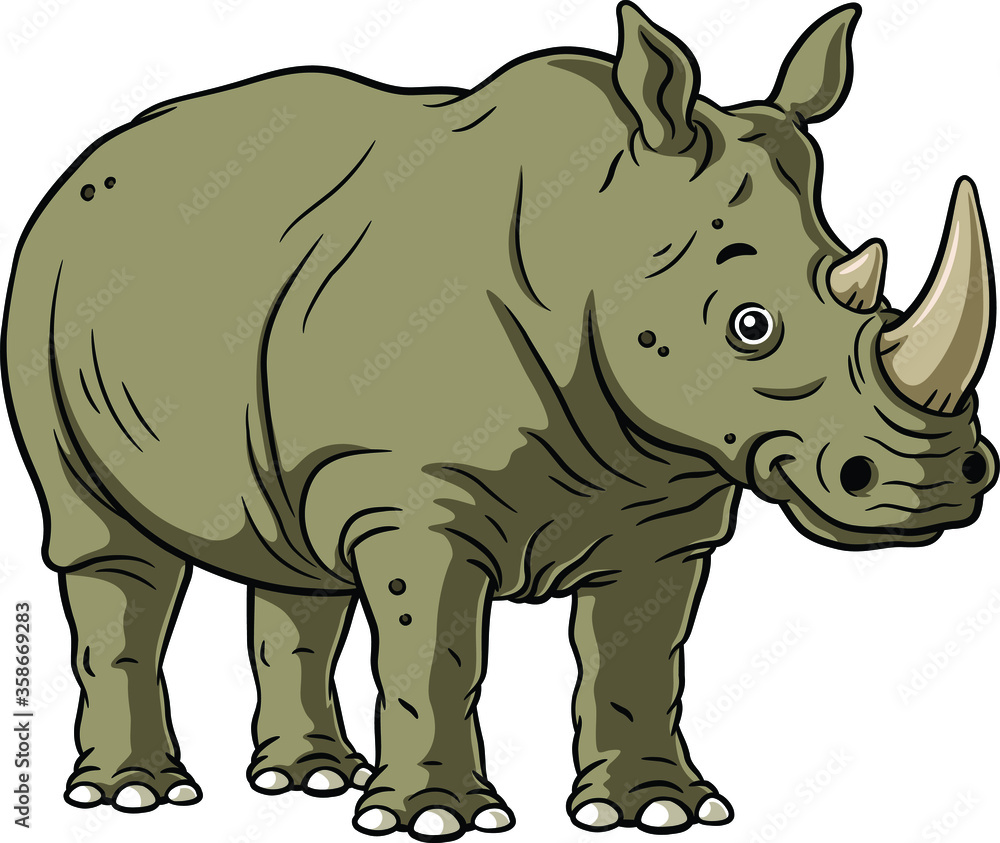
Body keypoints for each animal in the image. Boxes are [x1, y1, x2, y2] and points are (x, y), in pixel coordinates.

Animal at [2, 1, 996, 837]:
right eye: (751, 326)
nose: (939, 480)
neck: (601, 228)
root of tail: (84, 166)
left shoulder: (664, 499)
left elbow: (637, 657)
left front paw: (655, 810)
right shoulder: (412, 493)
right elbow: (433, 650)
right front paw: (433, 818)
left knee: (295, 558)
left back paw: (306, 780)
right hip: (41, 281)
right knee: (107, 544)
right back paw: (135, 796)